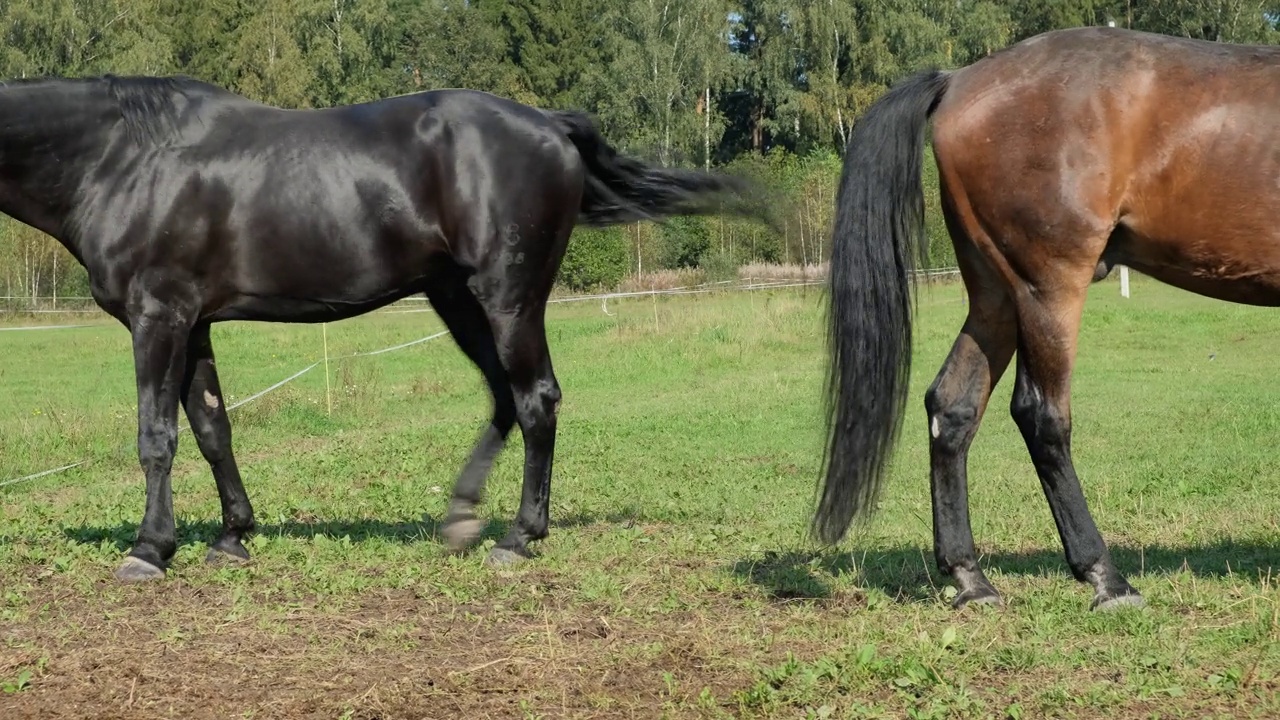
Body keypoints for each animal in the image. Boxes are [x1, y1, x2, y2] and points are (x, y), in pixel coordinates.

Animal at [2, 74, 768, 576]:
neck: (125, 157)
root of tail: (551, 126)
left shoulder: (157, 317)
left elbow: (156, 437)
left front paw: (148, 549)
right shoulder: (192, 324)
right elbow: (213, 428)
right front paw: (231, 537)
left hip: (508, 299)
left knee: (536, 400)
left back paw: (518, 538)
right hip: (457, 300)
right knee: (503, 398)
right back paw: (460, 517)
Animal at [814, 28, 1274, 607]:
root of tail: (957, 79)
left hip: (996, 296)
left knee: (953, 406)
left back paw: (971, 579)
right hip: (1048, 288)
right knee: (1042, 416)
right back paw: (1105, 576)